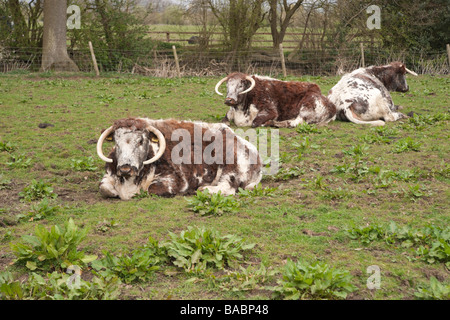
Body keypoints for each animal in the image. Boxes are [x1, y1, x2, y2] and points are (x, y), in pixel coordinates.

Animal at [96, 117, 262, 200]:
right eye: (116, 141)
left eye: (141, 140)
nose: (125, 168)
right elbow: (104, 188)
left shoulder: (176, 181)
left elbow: (151, 189)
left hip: (232, 168)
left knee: (228, 188)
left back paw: (204, 189)